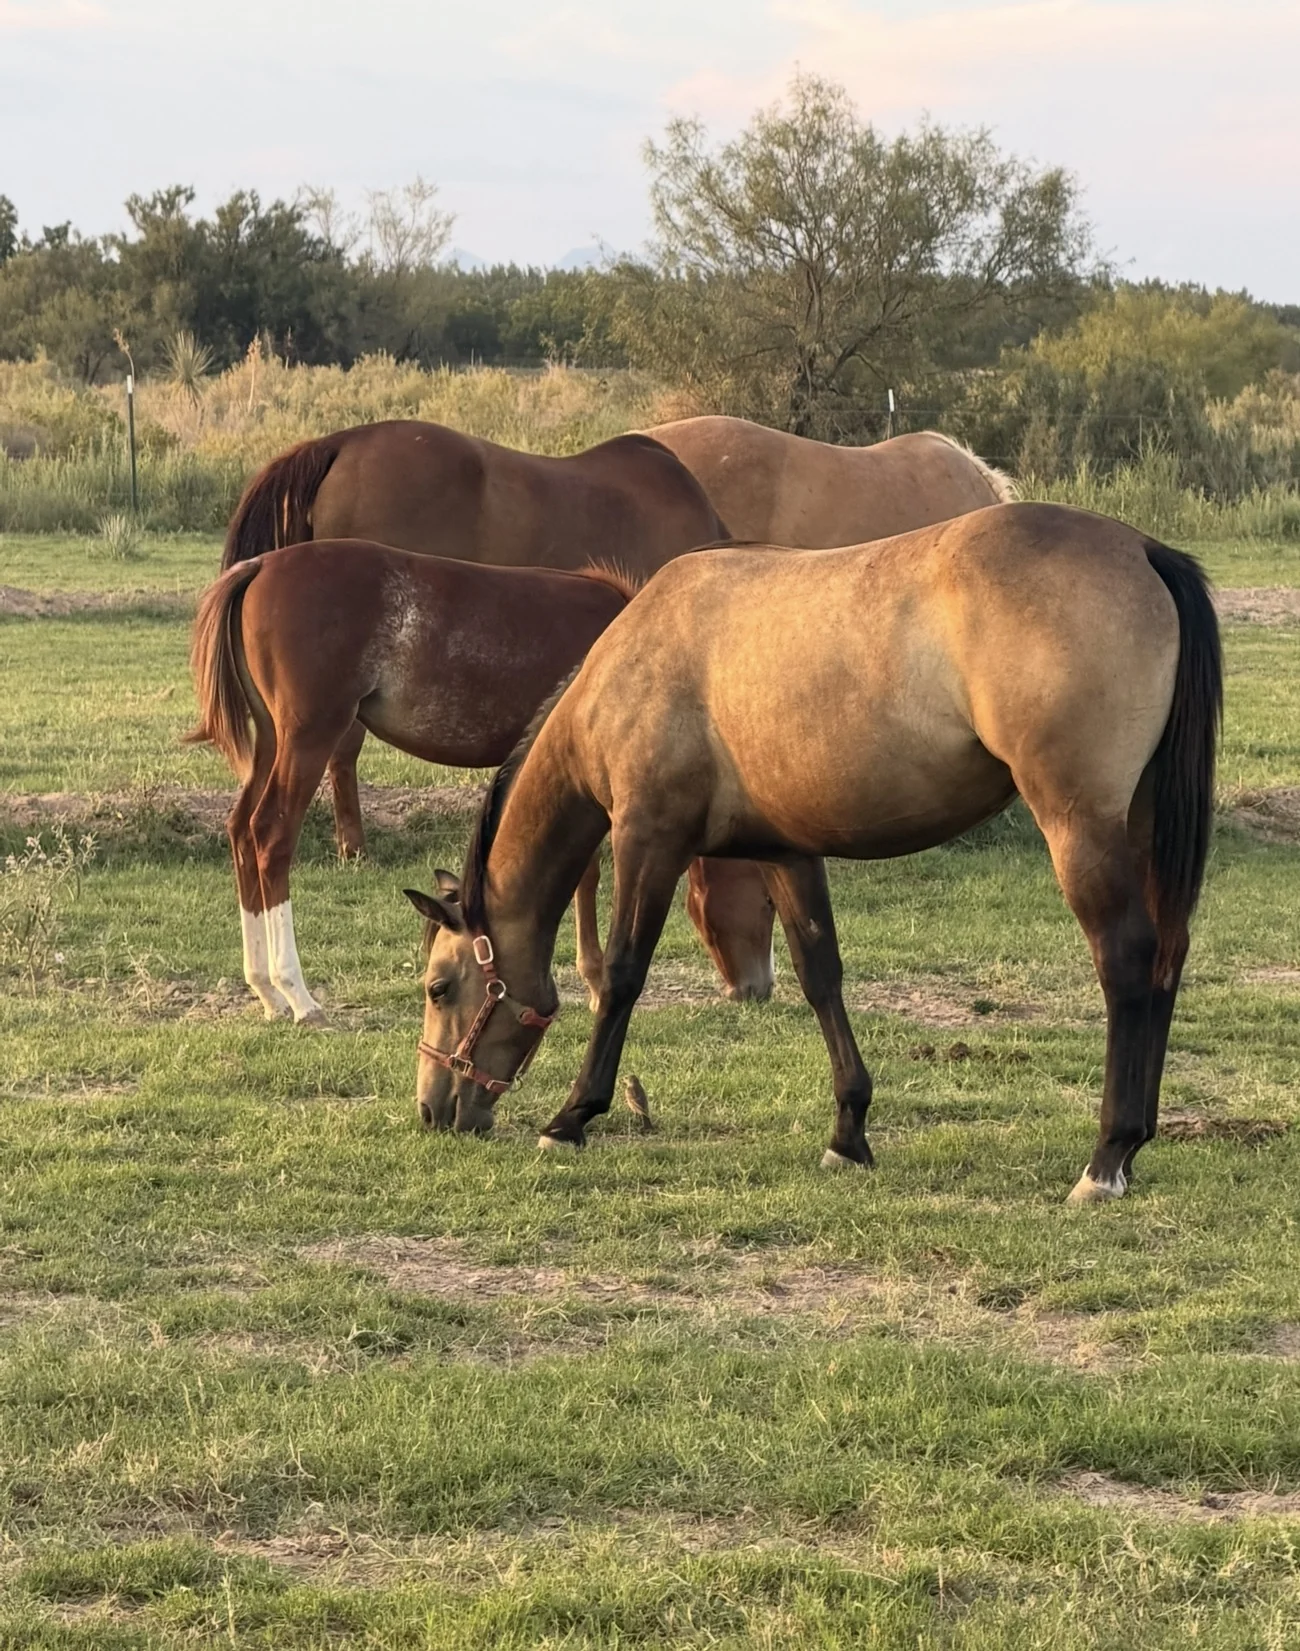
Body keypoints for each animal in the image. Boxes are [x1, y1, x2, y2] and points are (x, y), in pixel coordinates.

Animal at [186, 541, 641, 1024]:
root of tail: (261, 565)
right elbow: (586, 872)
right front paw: (594, 980)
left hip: (272, 740)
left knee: (240, 830)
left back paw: (266, 990)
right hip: (307, 739)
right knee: (271, 836)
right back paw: (297, 994)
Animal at [402, 503, 1221, 1205]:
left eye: (439, 988)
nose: (433, 1111)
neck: (636, 660)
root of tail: (1142, 549)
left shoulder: (647, 838)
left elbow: (623, 974)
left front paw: (571, 1117)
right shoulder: (787, 851)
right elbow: (820, 973)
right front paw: (848, 1133)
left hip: (1078, 825)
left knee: (1125, 959)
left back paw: (1106, 1159)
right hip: (1139, 824)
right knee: (1167, 954)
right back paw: (1134, 1143)